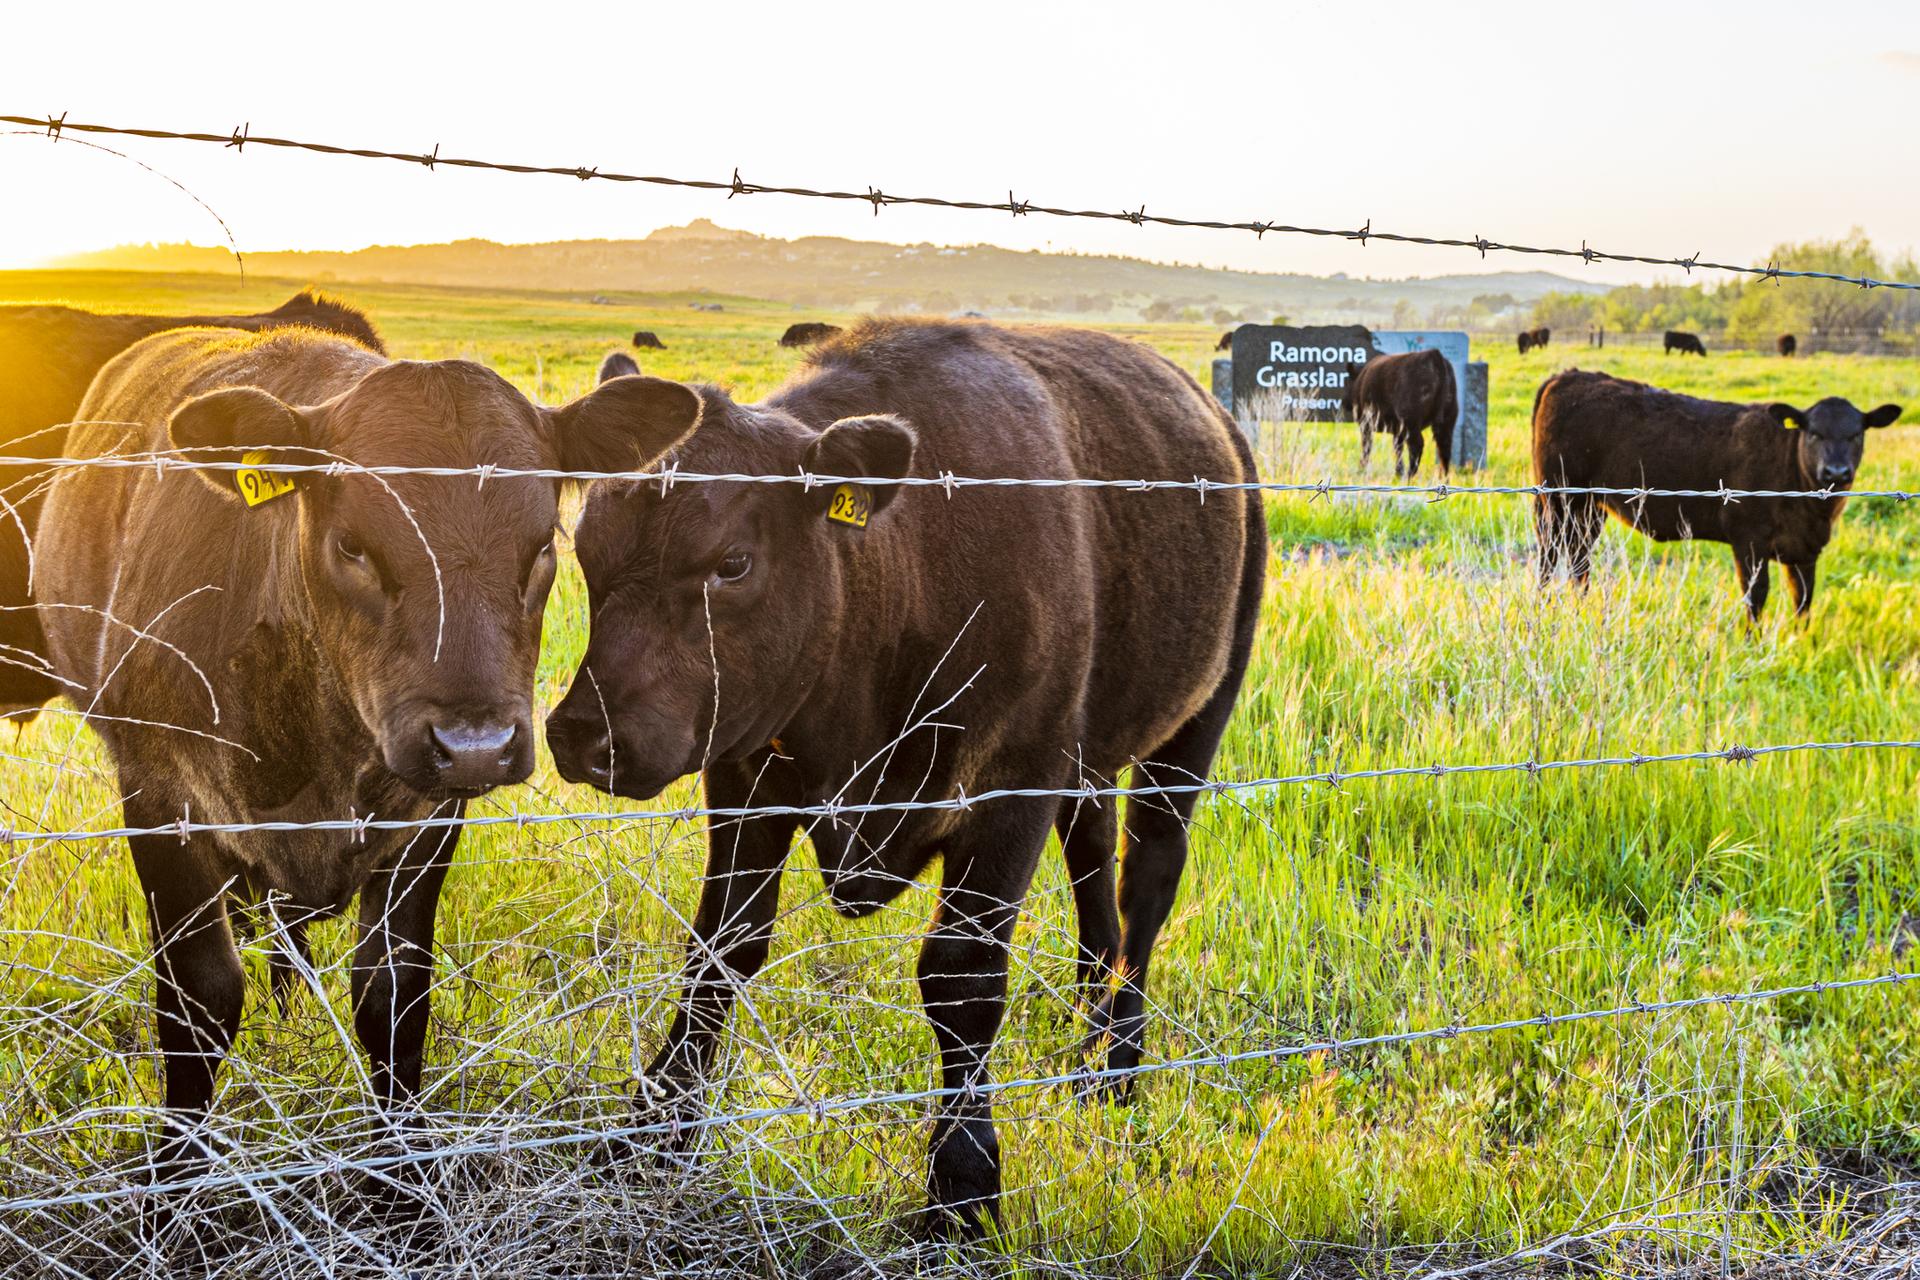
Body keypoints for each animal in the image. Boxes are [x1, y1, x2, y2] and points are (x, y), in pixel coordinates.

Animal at [35, 325, 700, 1184]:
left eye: (540, 548)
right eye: (352, 545)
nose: (476, 745)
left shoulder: (428, 816)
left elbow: (393, 992)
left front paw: (404, 1180)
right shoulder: (156, 795)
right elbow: (200, 993)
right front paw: (175, 1181)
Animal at [545, 318, 1264, 1238]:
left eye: (733, 562)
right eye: (585, 549)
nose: (584, 734)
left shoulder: (1012, 789)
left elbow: (960, 977)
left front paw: (963, 1184)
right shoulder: (745, 779)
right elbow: (720, 951)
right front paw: (652, 1136)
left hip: (1196, 717)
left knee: (1148, 876)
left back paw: (1117, 1066)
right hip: (1090, 756)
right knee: (1095, 864)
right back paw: (1087, 1033)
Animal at [1343, 348, 1459, 477]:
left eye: (1347, 382)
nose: (1344, 402)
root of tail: (1434, 355)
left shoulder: (1366, 424)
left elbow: (1366, 447)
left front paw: (1361, 469)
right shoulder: (1397, 430)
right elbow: (1397, 448)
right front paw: (1398, 472)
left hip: (1411, 423)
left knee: (1417, 446)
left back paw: (1410, 475)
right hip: (1447, 422)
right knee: (1444, 450)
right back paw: (1443, 478)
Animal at [1531, 369, 1900, 619]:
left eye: (1856, 434)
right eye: (1813, 433)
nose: (1836, 472)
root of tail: (1569, 376)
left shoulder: (1806, 550)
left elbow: (1803, 601)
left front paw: (1802, 645)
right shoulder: (1749, 539)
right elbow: (1756, 595)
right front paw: (1752, 646)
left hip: (1589, 505)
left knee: (1578, 556)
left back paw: (1580, 607)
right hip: (1558, 497)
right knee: (1549, 554)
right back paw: (1543, 606)